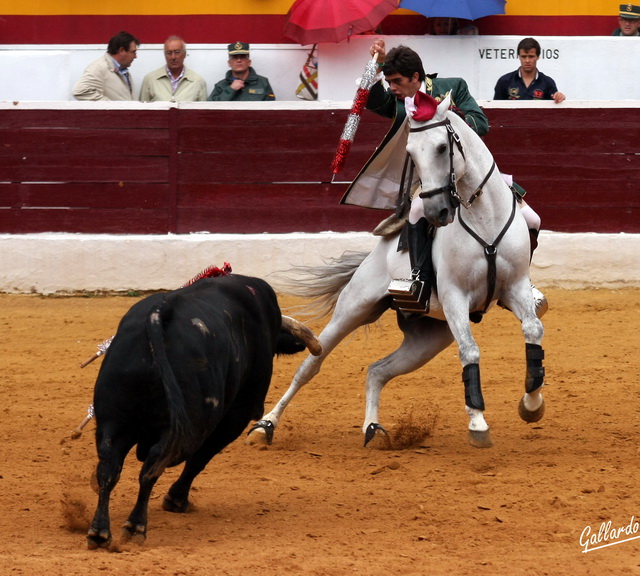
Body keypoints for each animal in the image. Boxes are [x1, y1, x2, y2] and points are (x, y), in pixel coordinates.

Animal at [89, 274, 318, 548]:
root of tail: (159, 314)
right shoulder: (238, 415)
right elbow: (200, 458)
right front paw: (176, 499)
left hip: (113, 421)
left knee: (109, 468)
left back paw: (100, 532)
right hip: (193, 421)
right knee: (151, 468)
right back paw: (135, 527)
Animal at [249, 94, 544, 448]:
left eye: (442, 148)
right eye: (411, 154)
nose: (436, 211)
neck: (484, 218)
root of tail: (377, 252)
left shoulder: (515, 286)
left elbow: (533, 332)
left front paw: (531, 405)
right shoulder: (455, 296)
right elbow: (469, 350)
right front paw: (477, 424)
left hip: (428, 338)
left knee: (378, 370)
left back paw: (373, 429)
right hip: (354, 308)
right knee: (311, 365)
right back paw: (266, 425)